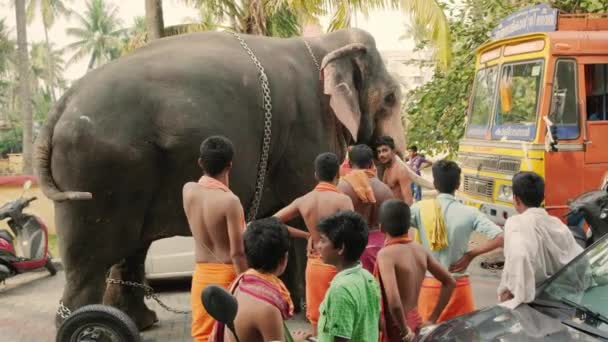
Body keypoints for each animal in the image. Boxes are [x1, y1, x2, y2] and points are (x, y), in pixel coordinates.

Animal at [33, 28, 404, 330]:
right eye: (391, 98)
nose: (388, 148)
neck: (323, 43)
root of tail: (63, 101)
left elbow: (276, 218)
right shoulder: (306, 127)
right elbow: (300, 209)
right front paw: (296, 309)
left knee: (130, 249)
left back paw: (141, 323)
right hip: (96, 171)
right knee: (91, 261)